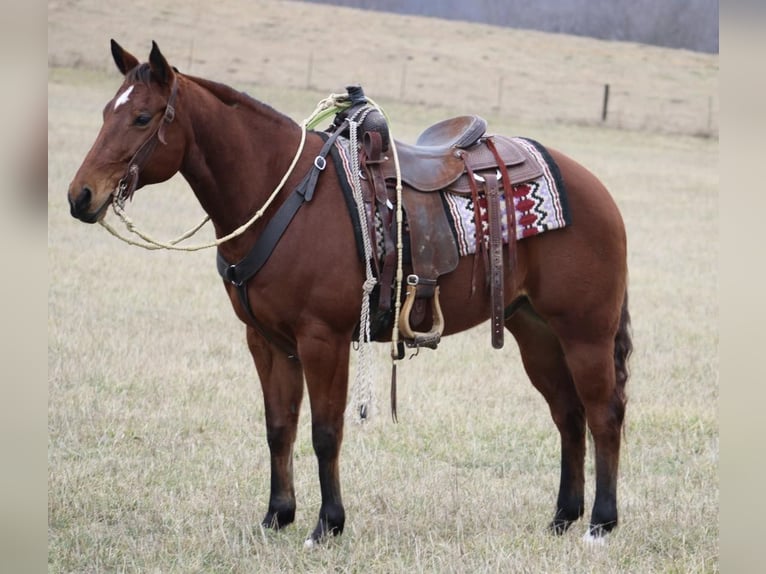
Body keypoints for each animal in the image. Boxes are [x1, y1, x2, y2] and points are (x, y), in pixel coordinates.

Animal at [66, 41, 632, 548]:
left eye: (142, 118)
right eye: (106, 112)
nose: (80, 196)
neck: (281, 193)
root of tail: (597, 189)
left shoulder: (323, 340)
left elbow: (324, 431)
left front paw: (327, 525)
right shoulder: (266, 342)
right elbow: (279, 427)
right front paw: (277, 516)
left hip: (585, 333)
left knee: (603, 414)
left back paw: (600, 524)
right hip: (535, 331)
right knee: (568, 415)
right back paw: (562, 517)